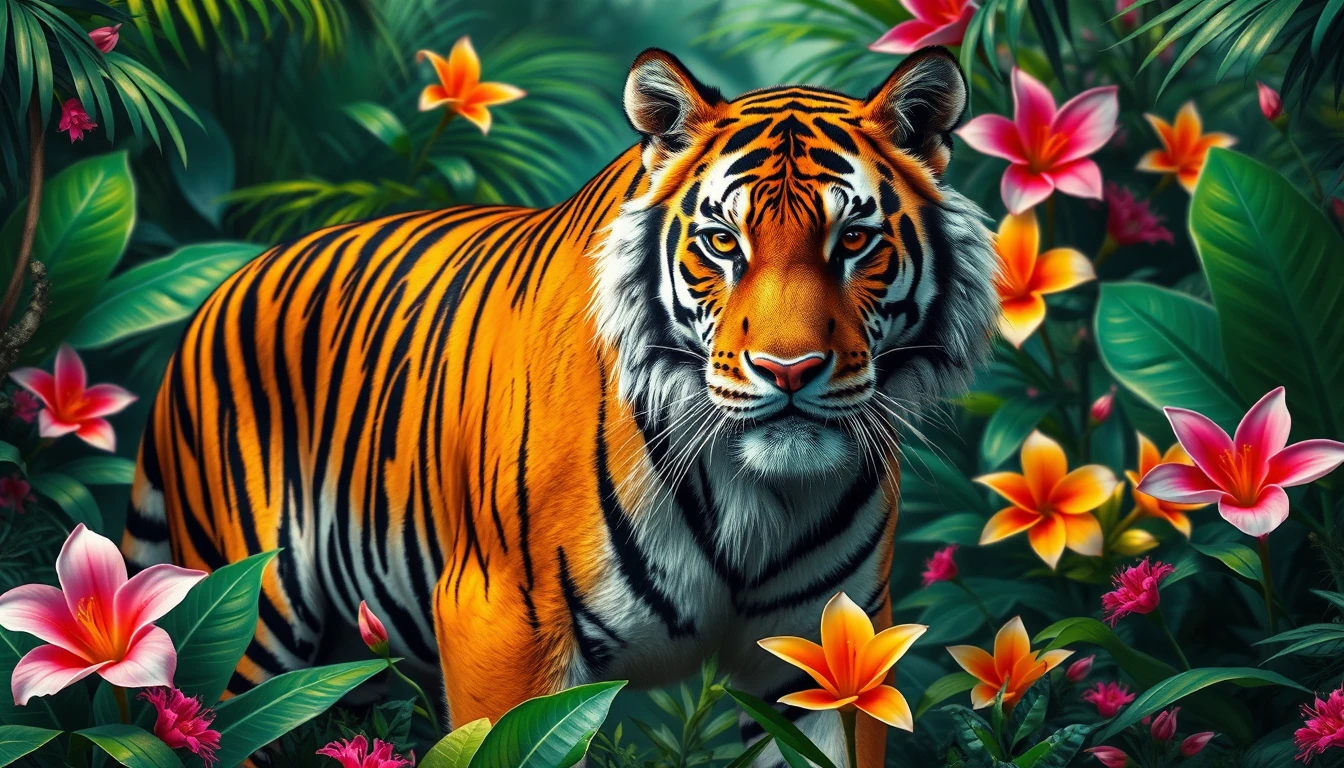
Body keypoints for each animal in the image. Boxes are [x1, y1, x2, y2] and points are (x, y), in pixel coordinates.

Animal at [121, 46, 997, 766]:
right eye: (722, 242)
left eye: (853, 241)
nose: (789, 371)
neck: (754, 494)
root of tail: (216, 293)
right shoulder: (502, 625)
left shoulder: (833, 650)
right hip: (247, 634)